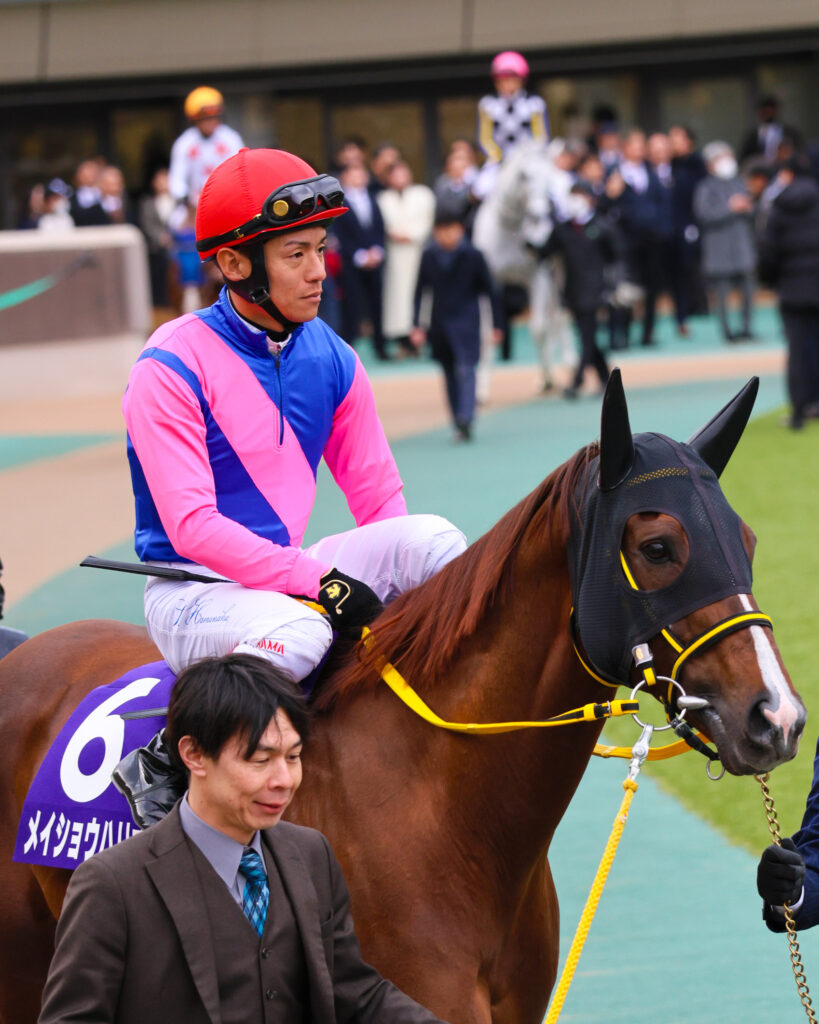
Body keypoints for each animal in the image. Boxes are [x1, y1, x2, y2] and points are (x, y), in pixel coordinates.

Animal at [472, 140, 573, 394]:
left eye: (547, 176)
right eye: (523, 176)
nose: (539, 215)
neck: (509, 230)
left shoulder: (538, 276)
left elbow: (539, 328)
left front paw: (548, 378)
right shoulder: (489, 281)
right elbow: (487, 333)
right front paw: (481, 388)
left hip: (559, 274)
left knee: (560, 316)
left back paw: (568, 362)